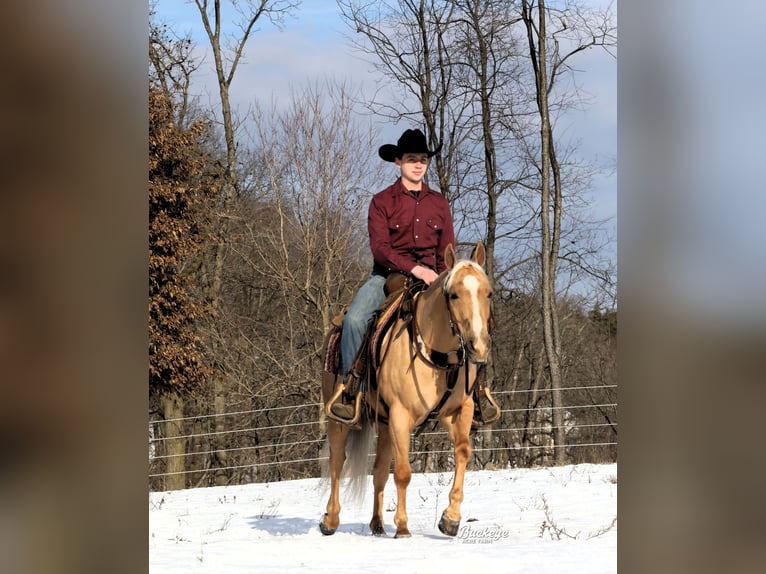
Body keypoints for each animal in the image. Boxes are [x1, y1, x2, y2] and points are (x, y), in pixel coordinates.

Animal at [318, 241, 492, 536]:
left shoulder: (459, 410)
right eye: (454, 295)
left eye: (488, 293)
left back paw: (377, 524)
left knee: (377, 470)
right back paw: (330, 520)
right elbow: (402, 472)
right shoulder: (401, 416)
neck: (435, 353)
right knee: (337, 463)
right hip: (339, 420)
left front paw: (450, 518)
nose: (478, 347)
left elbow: (463, 451)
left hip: (384, 423)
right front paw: (402, 527)